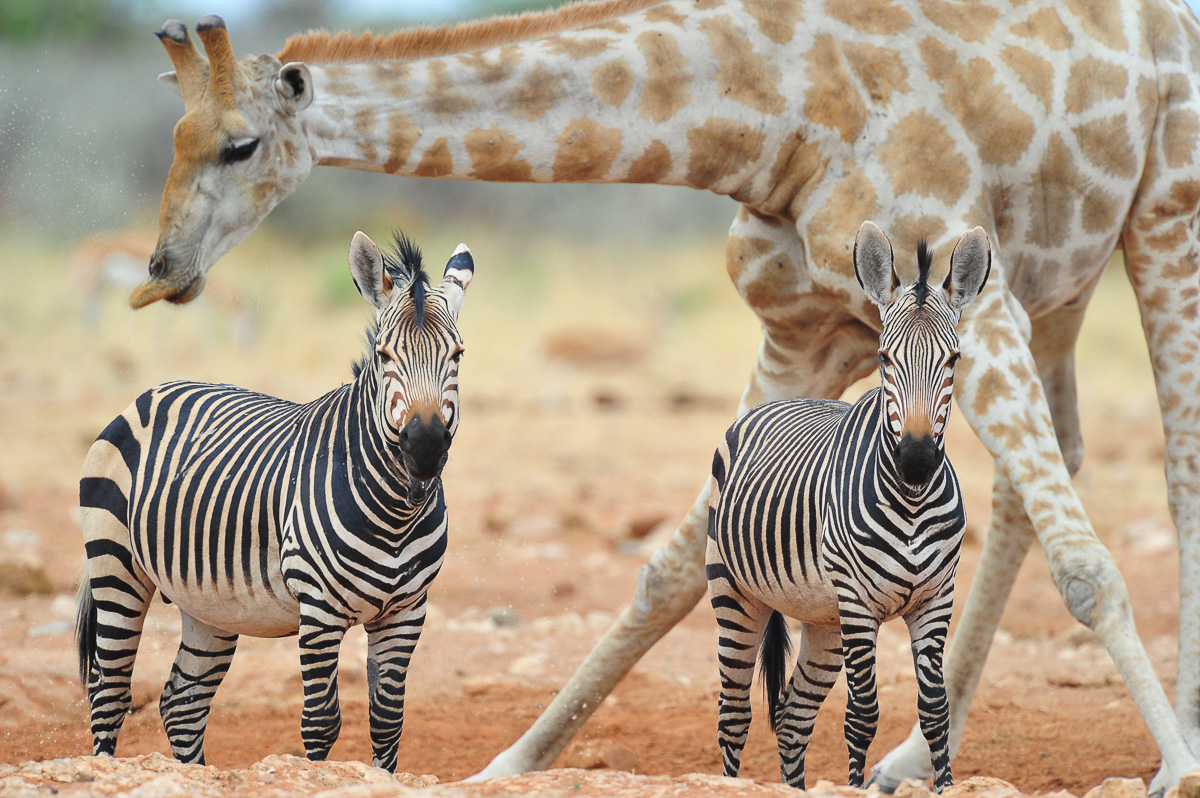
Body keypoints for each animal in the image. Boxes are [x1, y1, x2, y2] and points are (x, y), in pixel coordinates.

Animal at [75, 230, 474, 772]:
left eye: (457, 355)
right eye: (385, 356)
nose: (427, 446)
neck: (397, 511)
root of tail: (152, 391)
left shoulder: (407, 611)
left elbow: (389, 720)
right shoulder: (319, 610)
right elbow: (321, 721)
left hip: (210, 603)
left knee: (182, 702)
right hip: (116, 567)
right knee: (110, 691)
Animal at [705, 221, 991, 792]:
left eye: (953, 360)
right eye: (883, 358)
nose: (917, 460)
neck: (912, 503)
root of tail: (784, 400)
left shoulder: (936, 598)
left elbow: (935, 711)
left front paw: (946, 785)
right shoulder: (859, 603)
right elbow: (863, 714)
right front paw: (856, 786)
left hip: (824, 619)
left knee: (792, 717)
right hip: (735, 592)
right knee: (735, 715)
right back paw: (728, 781)